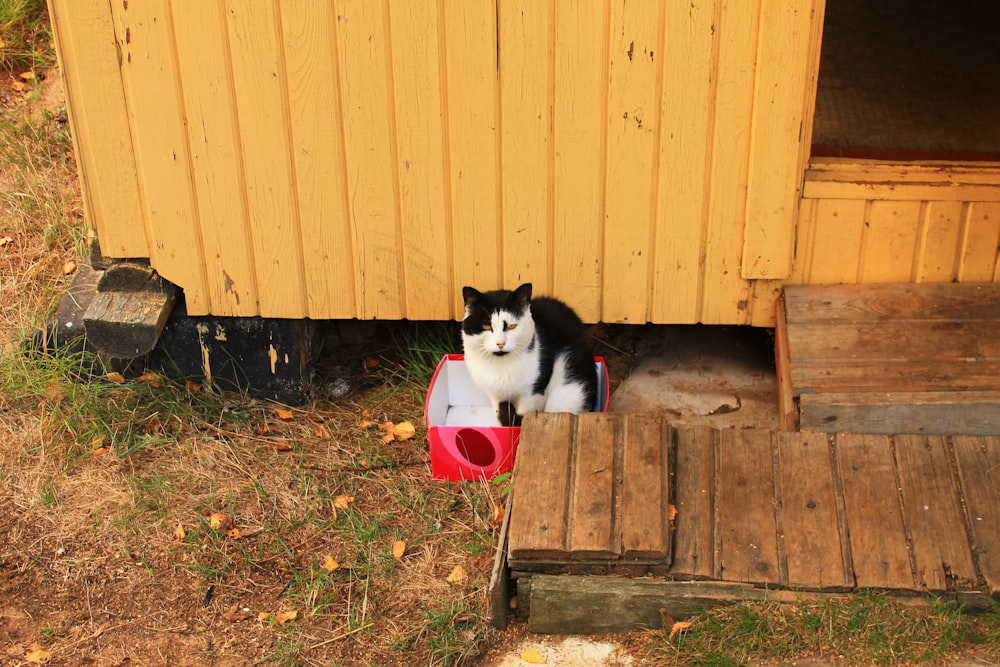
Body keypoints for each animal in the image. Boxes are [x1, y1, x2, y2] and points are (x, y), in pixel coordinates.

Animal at [458, 284, 592, 428]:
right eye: (486, 326)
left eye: (511, 326)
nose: (500, 343)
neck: (501, 366)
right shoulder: (495, 395)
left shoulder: (534, 391)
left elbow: (523, 418)